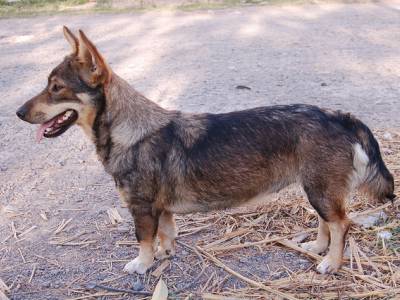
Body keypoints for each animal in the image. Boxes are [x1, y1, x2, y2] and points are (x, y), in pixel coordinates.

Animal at [17, 27, 396, 276]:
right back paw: (317, 248)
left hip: (319, 189)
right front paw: (164, 256)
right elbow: (166, 234)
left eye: (56, 88)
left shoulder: (141, 208)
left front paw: (142, 264)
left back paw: (331, 262)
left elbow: (143, 239)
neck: (131, 130)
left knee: (342, 224)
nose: (18, 112)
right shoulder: (160, 209)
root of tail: (338, 115)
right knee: (327, 222)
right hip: (317, 189)